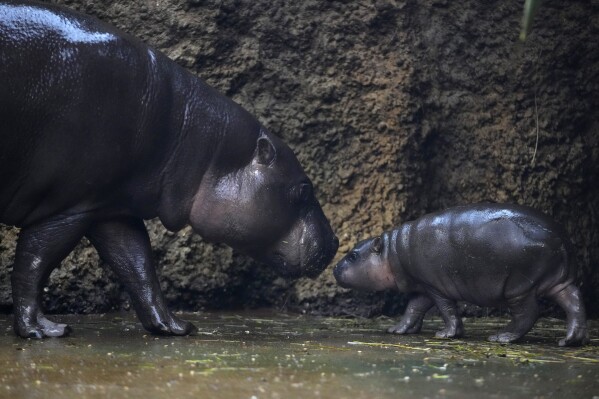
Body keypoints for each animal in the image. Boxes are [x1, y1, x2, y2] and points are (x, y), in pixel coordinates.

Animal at [0, 1, 338, 340]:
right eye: (304, 189)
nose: (335, 242)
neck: (193, 136)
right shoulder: (68, 206)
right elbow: (34, 263)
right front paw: (42, 330)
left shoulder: (110, 206)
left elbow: (138, 265)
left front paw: (176, 327)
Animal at [332, 203, 592, 346]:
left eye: (353, 255)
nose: (334, 268)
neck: (392, 251)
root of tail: (560, 236)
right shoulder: (422, 286)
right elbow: (413, 309)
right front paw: (397, 330)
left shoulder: (435, 286)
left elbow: (446, 310)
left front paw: (446, 334)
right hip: (559, 281)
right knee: (575, 303)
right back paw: (570, 341)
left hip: (518, 286)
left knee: (528, 313)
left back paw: (501, 337)